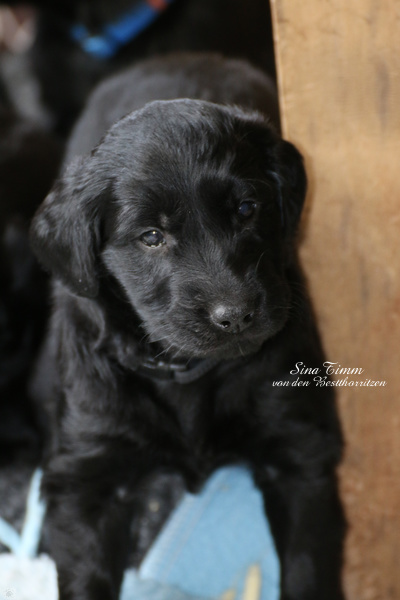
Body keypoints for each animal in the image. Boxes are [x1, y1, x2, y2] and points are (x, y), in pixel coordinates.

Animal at [31, 53, 345, 600]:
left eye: (247, 209)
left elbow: (308, 566)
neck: (188, 371)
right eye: (152, 236)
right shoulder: (86, 473)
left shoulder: (298, 450)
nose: (236, 314)